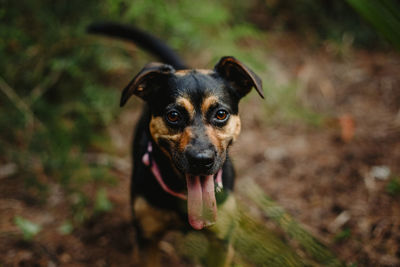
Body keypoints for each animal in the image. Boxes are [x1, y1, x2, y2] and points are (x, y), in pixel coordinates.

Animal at [88, 22, 262, 264]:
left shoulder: (221, 244)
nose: (201, 160)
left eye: (221, 114)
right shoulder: (148, 239)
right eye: (173, 116)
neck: (185, 192)